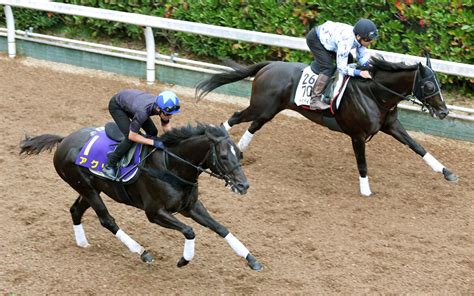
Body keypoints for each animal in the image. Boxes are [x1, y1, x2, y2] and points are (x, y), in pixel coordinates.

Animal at [19, 122, 262, 270]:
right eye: (224, 156)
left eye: (240, 154)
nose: (244, 185)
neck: (171, 166)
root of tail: (64, 140)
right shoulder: (154, 213)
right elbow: (190, 231)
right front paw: (184, 259)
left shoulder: (190, 206)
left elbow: (221, 228)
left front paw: (251, 259)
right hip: (86, 188)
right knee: (107, 220)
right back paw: (142, 252)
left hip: (89, 189)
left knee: (76, 210)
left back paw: (82, 242)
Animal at [195, 56, 460, 198]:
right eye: (429, 86)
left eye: (438, 84)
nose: (444, 112)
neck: (375, 93)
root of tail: (269, 65)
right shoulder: (358, 135)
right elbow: (362, 163)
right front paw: (366, 190)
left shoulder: (392, 125)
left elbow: (417, 147)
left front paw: (447, 172)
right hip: (261, 106)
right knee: (235, 117)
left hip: (269, 110)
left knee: (254, 126)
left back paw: (239, 152)